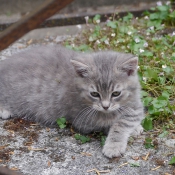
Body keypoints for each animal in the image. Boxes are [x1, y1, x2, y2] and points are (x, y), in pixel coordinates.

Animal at [0, 45, 144, 158]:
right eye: (94, 94)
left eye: (116, 93)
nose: (105, 106)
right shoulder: (83, 120)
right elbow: (113, 124)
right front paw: (114, 146)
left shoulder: (136, 106)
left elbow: (127, 120)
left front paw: (135, 127)